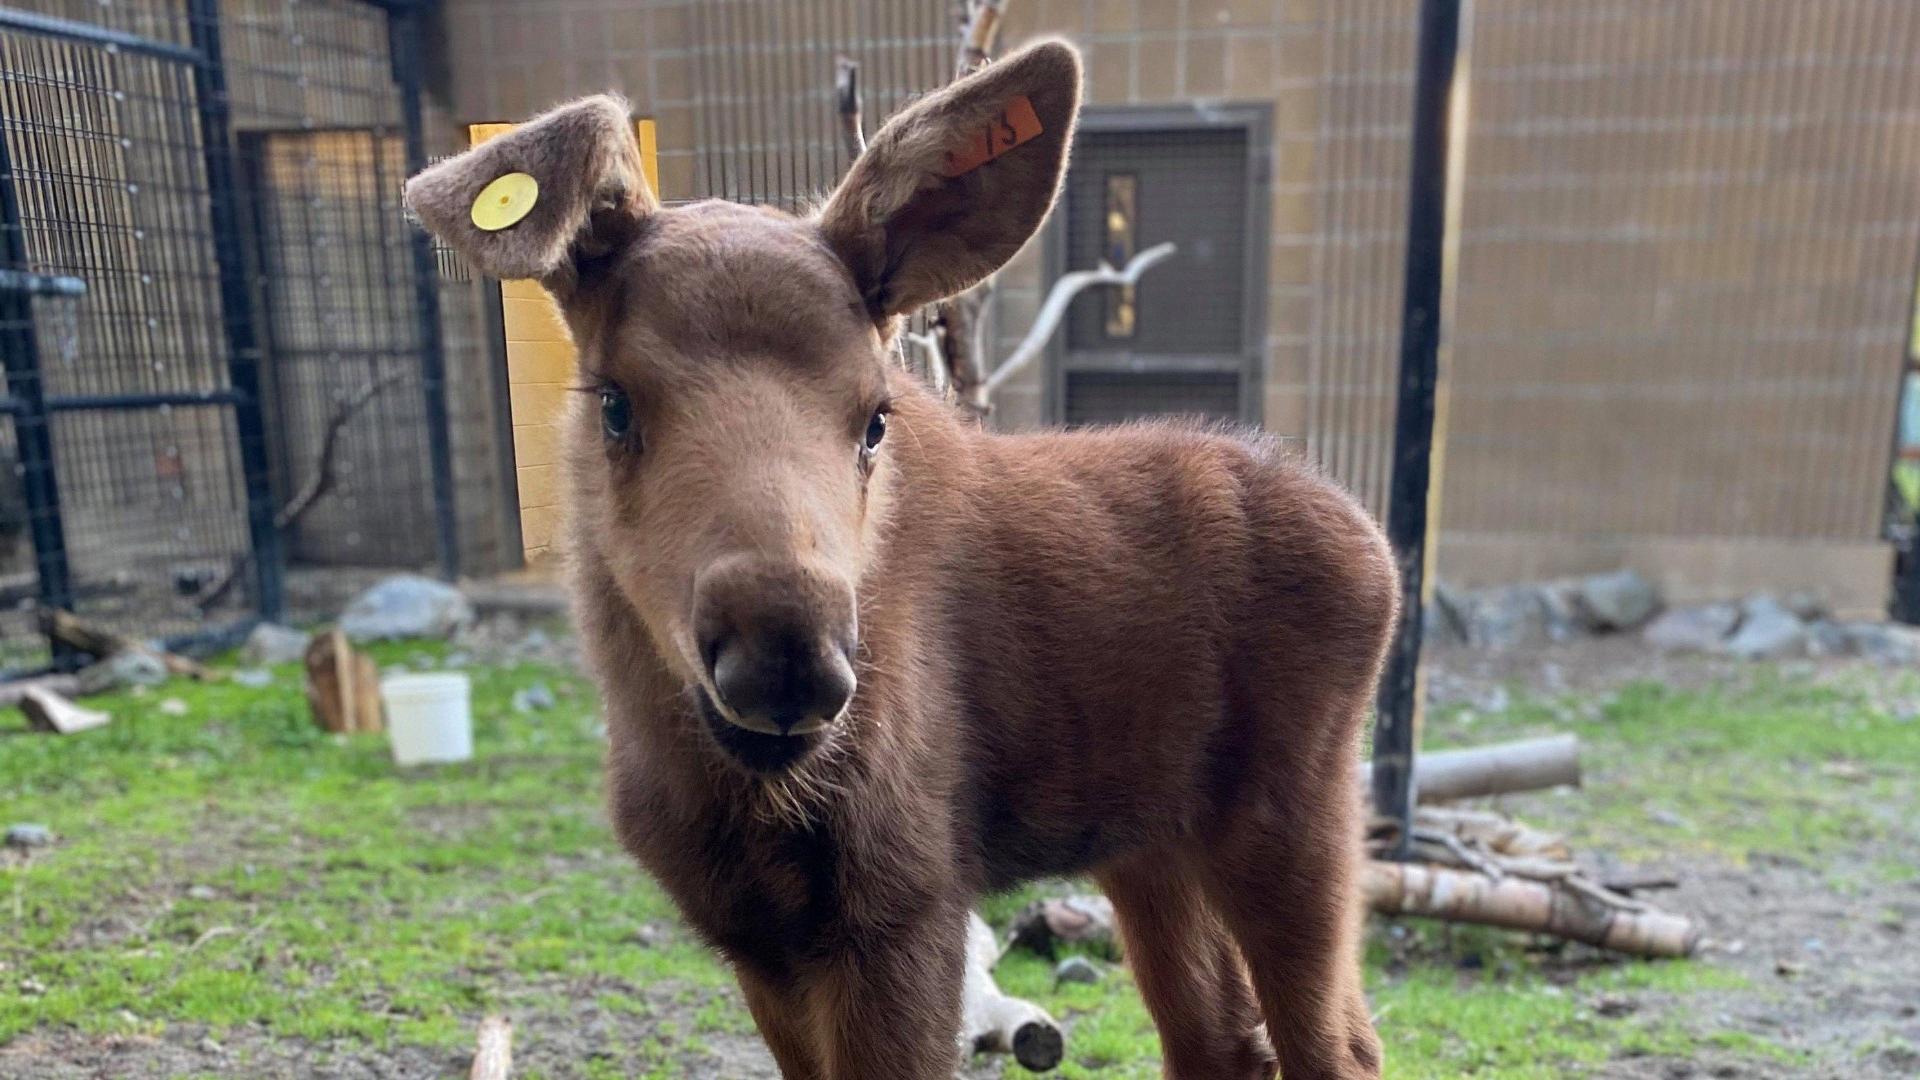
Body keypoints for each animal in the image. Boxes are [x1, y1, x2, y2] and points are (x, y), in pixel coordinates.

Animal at [408, 37, 1397, 1068]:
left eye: (876, 417)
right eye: (613, 402)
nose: (786, 661)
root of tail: (1375, 546)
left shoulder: (908, 899)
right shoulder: (759, 940)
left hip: (1297, 814)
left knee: (1339, 1045)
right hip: (1151, 840)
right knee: (1225, 1040)